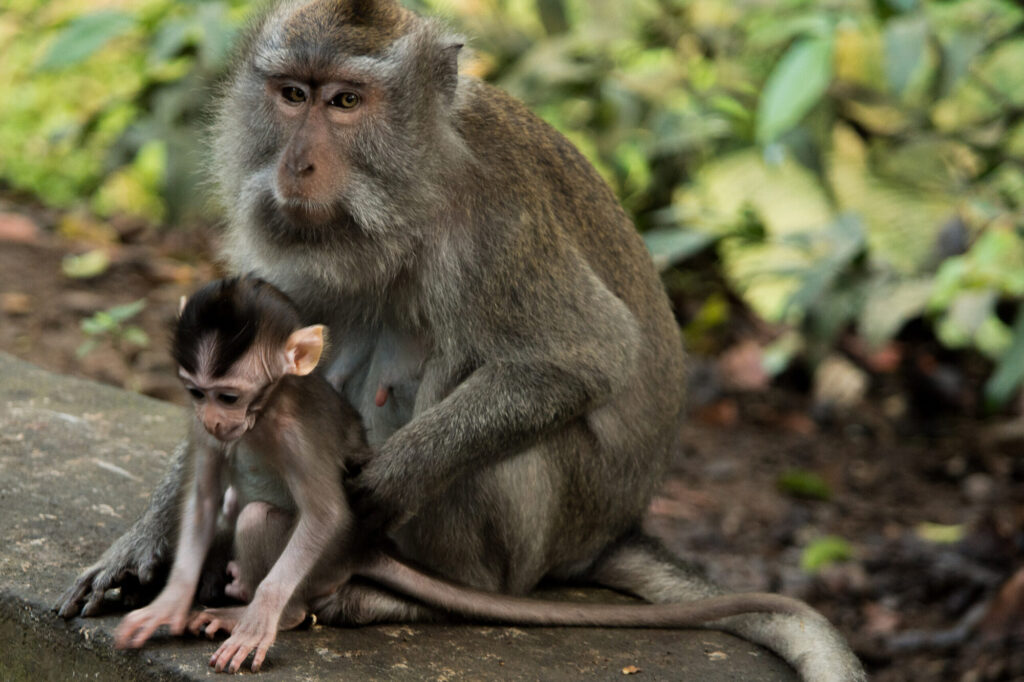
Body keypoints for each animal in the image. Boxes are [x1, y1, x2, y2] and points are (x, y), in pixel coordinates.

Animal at [56, 2, 865, 679]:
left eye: (346, 102)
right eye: (292, 94)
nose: (297, 165)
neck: (406, 194)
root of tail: (613, 530)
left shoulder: (497, 227)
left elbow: (586, 356)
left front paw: (387, 481)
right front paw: (147, 542)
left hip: (548, 529)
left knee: (485, 396)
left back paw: (403, 593)